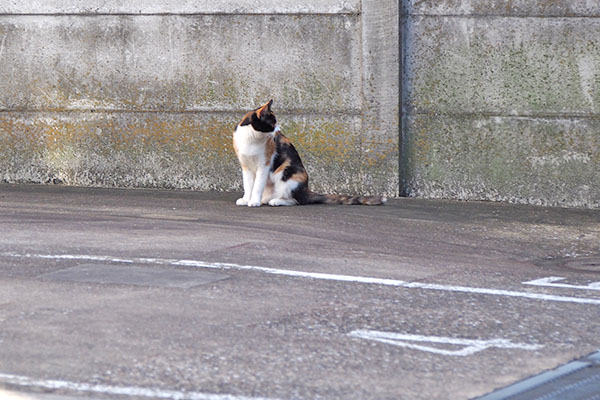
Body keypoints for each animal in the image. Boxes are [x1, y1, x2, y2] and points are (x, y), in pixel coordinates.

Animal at [232, 99, 386, 208]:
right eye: (272, 123)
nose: (279, 129)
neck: (252, 139)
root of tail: (307, 190)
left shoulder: (264, 165)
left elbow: (257, 185)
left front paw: (254, 201)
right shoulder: (246, 166)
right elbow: (248, 185)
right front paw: (246, 199)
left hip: (287, 174)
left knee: (296, 200)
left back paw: (275, 201)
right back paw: (265, 199)